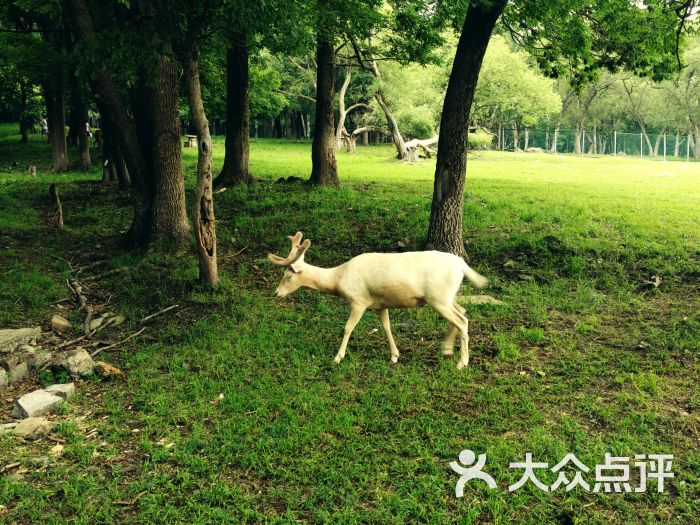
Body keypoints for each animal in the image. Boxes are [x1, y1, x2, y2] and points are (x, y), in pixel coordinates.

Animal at [268, 231, 486, 366]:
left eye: (288, 276)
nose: (276, 293)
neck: (339, 280)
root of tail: (462, 265)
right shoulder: (380, 304)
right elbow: (386, 327)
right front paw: (395, 356)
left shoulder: (359, 301)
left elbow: (348, 327)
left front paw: (338, 357)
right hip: (448, 296)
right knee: (463, 312)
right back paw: (446, 349)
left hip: (439, 298)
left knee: (462, 320)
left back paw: (462, 362)